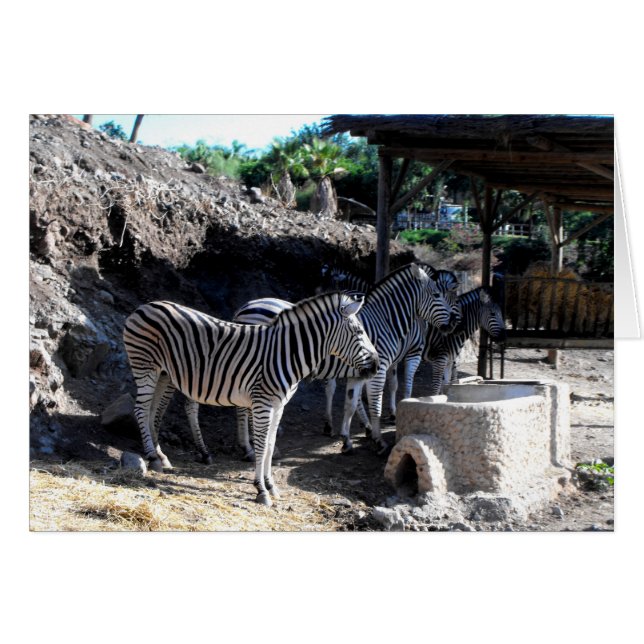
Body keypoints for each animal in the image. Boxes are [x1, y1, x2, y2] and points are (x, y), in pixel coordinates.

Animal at [122, 292, 379, 506]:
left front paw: (271, 485)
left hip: (163, 373)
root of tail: (145, 306)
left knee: (153, 411)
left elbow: (270, 445)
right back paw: (152, 456)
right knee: (141, 410)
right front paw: (261, 490)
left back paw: (160, 456)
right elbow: (261, 445)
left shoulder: (278, 405)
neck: (287, 353)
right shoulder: (263, 402)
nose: (376, 366)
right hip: (146, 367)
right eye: (359, 332)